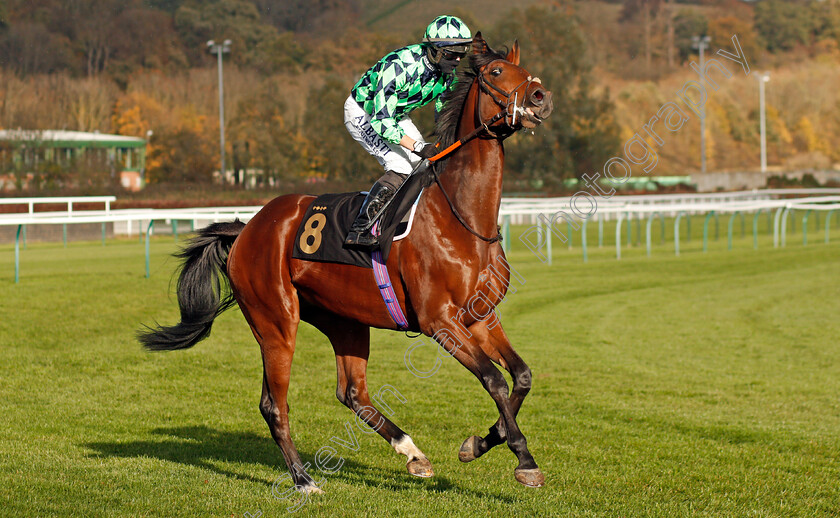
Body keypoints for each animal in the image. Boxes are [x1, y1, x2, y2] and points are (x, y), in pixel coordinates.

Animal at [141, 32, 556, 496]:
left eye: (526, 71)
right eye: (497, 72)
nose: (540, 97)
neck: (463, 218)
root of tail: (248, 228)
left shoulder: (480, 317)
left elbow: (521, 376)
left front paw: (481, 442)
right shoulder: (440, 322)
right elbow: (495, 380)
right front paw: (523, 460)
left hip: (345, 320)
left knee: (352, 392)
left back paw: (413, 454)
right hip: (276, 322)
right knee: (273, 404)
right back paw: (304, 480)